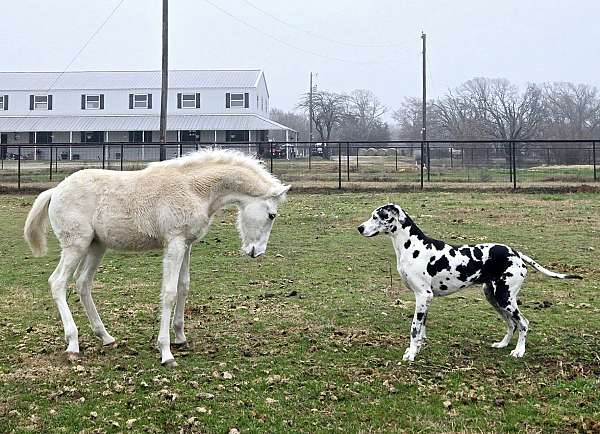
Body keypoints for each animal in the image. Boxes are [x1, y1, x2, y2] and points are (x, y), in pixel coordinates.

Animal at [24, 149, 292, 366]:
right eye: (272, 215)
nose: (256, 252)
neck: (194, 189)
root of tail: (55, 190)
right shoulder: (174, 243)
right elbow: (170, 292)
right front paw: (166, 352)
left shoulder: (187, 244)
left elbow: (184, 286)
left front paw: (181, 337)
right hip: (75, 245)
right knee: (58, 282)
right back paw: (73, 344)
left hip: (96, 246)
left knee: (82, 283)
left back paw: (106, 337)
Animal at [356, 205, 580, 362]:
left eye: (377, 216)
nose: (359, 228)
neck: (412, 246)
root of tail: (516, 253)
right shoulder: (425, 299)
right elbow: (422, 330)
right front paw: (417, 348)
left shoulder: (422, 296)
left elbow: (414, 328)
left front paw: (411, 354)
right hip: (493, 297)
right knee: (511, 324)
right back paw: (502, 344)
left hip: (505, 297)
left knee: (523, 323)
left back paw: (519, 351)